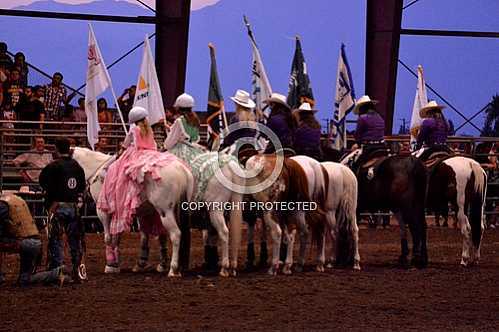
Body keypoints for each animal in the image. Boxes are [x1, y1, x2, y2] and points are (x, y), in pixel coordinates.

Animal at [71, 148, 194, 278]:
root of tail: (182, 169)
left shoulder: (103, 212)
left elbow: (108, 238)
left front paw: (110, 265)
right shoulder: (135, 214)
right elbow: (131, 237)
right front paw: (121, 264)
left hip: (165, 212)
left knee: (176, 235)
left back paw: (173, 269)